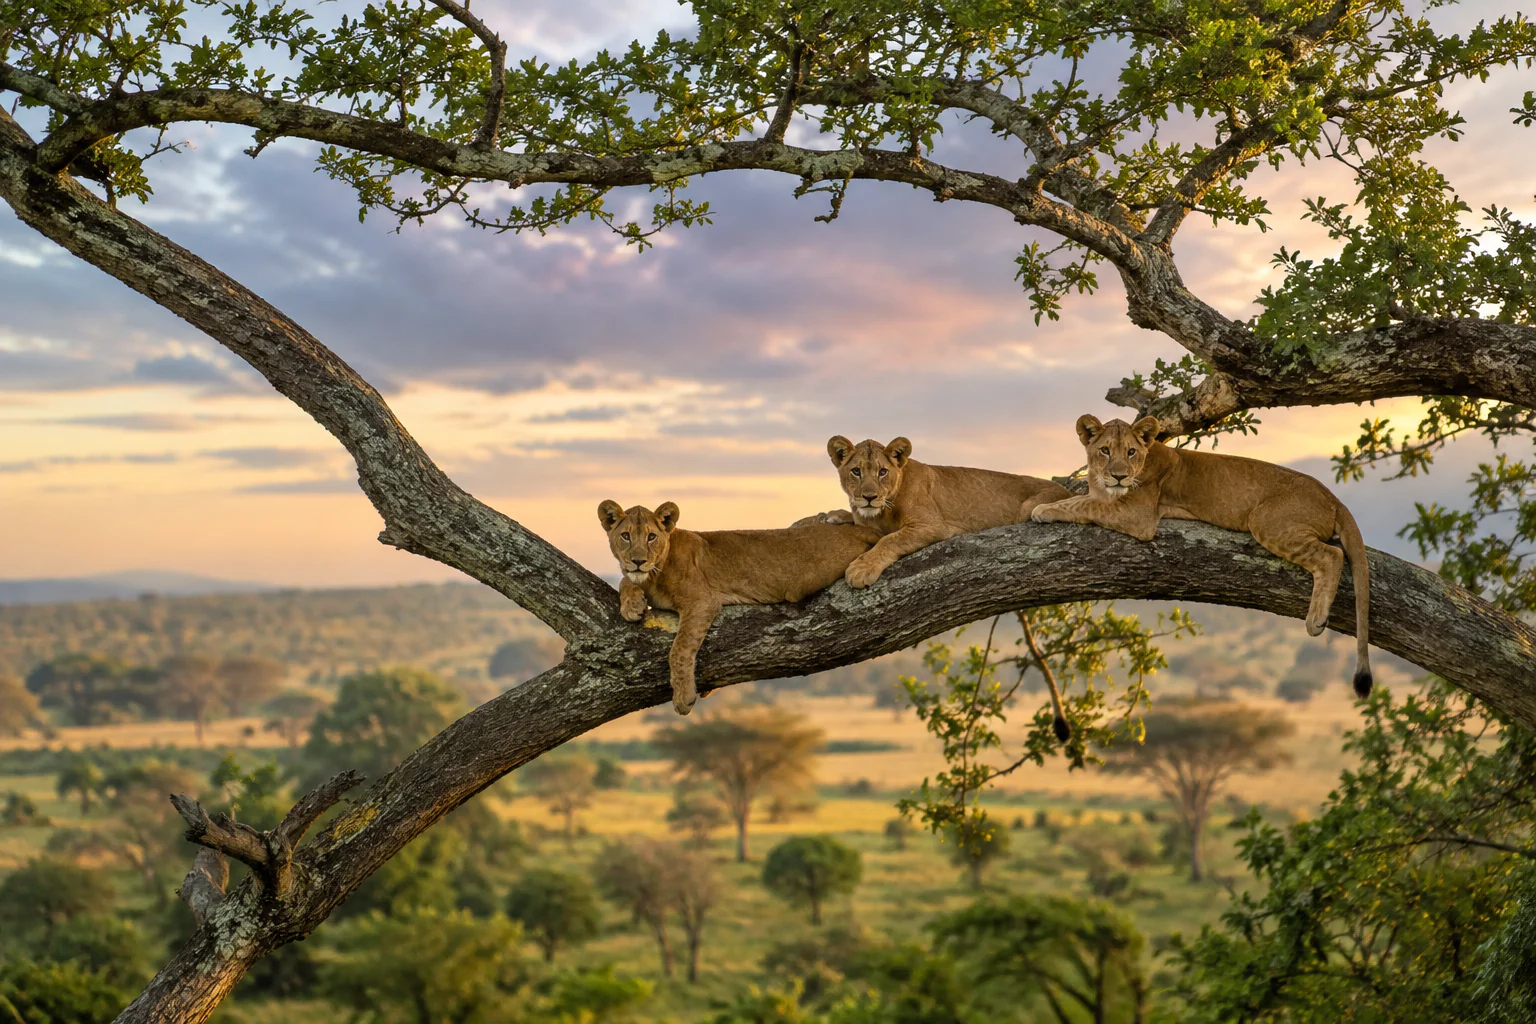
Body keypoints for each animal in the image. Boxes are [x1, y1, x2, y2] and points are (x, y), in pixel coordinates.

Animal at [599, 500, 881, 715]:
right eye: (625, 536)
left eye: (651, 537)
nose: (638, 561)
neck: (654, 575)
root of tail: (858, 531)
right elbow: (625, 580)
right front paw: (632, 604)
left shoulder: (702, 601)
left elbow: (679, 650)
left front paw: (683, 697)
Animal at [801, 436, 1072, 589]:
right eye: (856, 471)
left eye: (882, 471)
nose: (869, 497)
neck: (882, 512)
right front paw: (836, 514)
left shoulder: (932, 525)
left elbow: (890, 539)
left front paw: (861, 568)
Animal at [1030, 414, 1373, 696]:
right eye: (1104, 450)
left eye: (1130, 452)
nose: (1119, 477)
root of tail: (1333, 497)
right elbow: (1080, 499)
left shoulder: (1137, 516)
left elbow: (1083, 504)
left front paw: (1043, 510)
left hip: (1266, 521)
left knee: (1332, 555)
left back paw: (1316, 619)